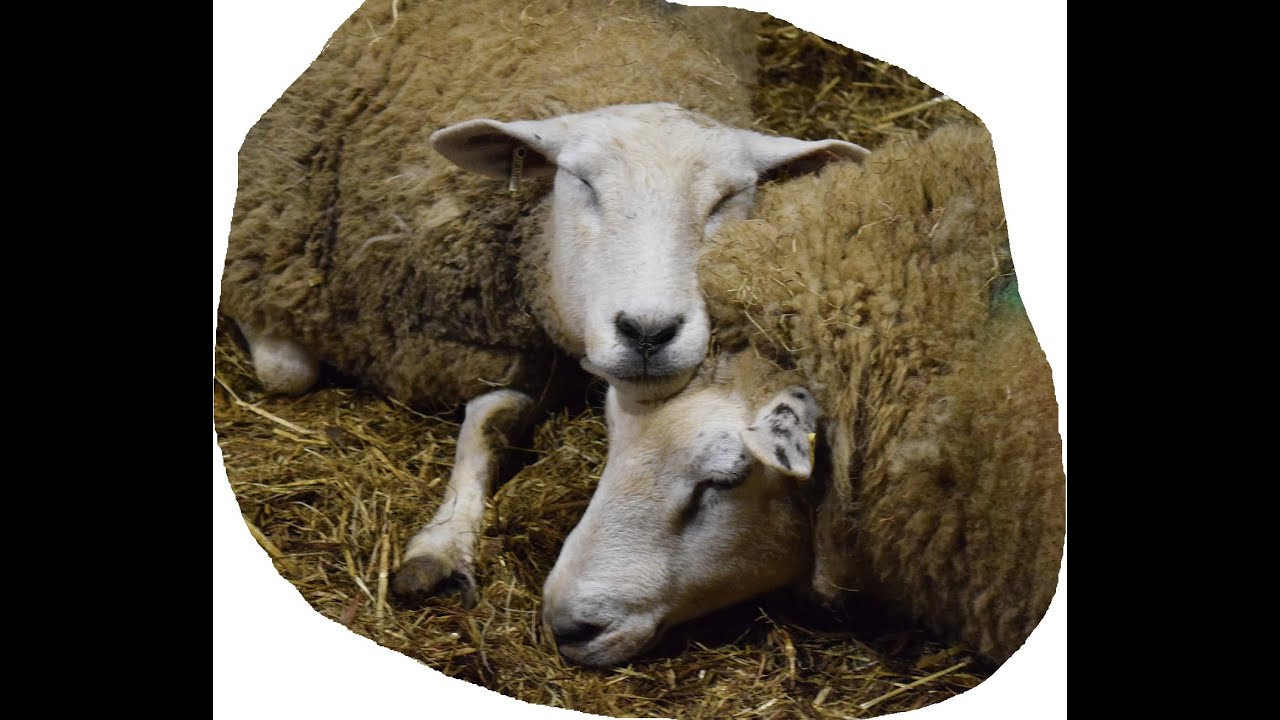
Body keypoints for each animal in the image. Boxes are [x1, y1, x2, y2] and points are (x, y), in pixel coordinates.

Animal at [216, 0, 869, 605]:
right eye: (582, 183)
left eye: (729, 198)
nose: (649, 332)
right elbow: (285, 372)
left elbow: (492, 416)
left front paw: (444, 540)